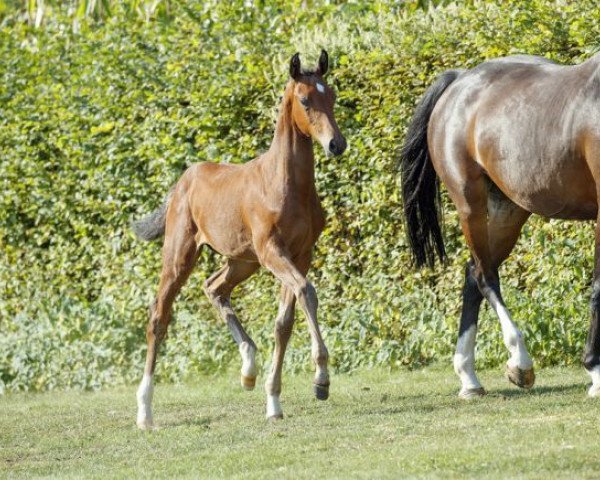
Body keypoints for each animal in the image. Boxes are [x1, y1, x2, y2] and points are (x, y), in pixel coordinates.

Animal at [131, 50, 346, 430]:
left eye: (332, 96)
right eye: (305, 100)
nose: (337, 144)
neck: (287, 185)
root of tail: (183, 180)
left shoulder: (300, 254)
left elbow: (285, 321)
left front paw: (274, 399)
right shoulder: (273, 251)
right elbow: (306, 292)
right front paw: (321, 378)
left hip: (242, 261)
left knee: (214, 286)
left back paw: (248, 367)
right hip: (181, 254)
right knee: (159, 315)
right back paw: (145, 410)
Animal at [400, 53, 600, 398]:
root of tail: (461, 80)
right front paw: (595, 371)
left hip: (510, 210)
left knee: (472, 274)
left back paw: (468, 377)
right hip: (470, 204)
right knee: (484, 275)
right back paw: (519, 362)